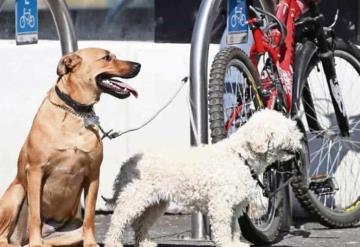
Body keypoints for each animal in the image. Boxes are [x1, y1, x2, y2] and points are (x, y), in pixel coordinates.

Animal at [0, 47, 141, 246]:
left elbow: (89, 216)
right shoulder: (35, 171)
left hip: (70, 231)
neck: (75, 112)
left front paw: (91, 243)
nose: (138, 65)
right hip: (17, 192)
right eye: (106, 58)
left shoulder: (93, 175)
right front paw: (36, 243)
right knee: (5, 236)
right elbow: (35, 214)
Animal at [105, 110, 304, 247]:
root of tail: (129, 161)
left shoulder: (235, 204)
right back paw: (113, 242)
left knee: (141, 223)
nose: (301, 138)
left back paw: (144, 242)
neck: (241, 157)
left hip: (157, 202)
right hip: (135, 196)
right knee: (119, 218)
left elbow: (234, 226)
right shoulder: (221, 203)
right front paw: (225, 243)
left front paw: (235, 243)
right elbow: (223, 225)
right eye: (289, 129)